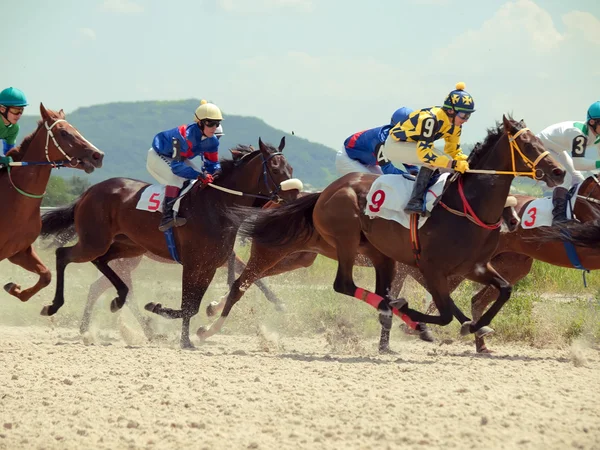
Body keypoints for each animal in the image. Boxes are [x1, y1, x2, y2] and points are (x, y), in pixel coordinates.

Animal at [0, 103, 103, 302]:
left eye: (76, 130)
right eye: (64, 133)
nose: (98, 155)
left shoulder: (19, 252)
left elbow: (46, 275)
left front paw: (15, 289)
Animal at [39, 137, 300, 348]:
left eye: (290, 167)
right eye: (275, 168)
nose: (295, 198)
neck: (216, 205)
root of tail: (88, 192)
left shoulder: (210, 264)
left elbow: (195, 304)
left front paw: (185, 336)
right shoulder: (194, 263)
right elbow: (190, 304)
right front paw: (166, 317)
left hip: (127, 247)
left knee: (104, 274)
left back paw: (116, 308)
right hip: (96, 242)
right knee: (64, 255)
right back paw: (56, 306)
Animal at [198, 116, 568, 344]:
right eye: (528, 144)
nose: (559, 172)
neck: (467, 206)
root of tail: (323, 194)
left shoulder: (473, 266)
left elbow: (502, 290)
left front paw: (475, 327)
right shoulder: (431, 267)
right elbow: (444, 312)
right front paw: (415, 318)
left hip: (342, 254)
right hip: (316, 245)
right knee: (270, 283)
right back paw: (209, 326)